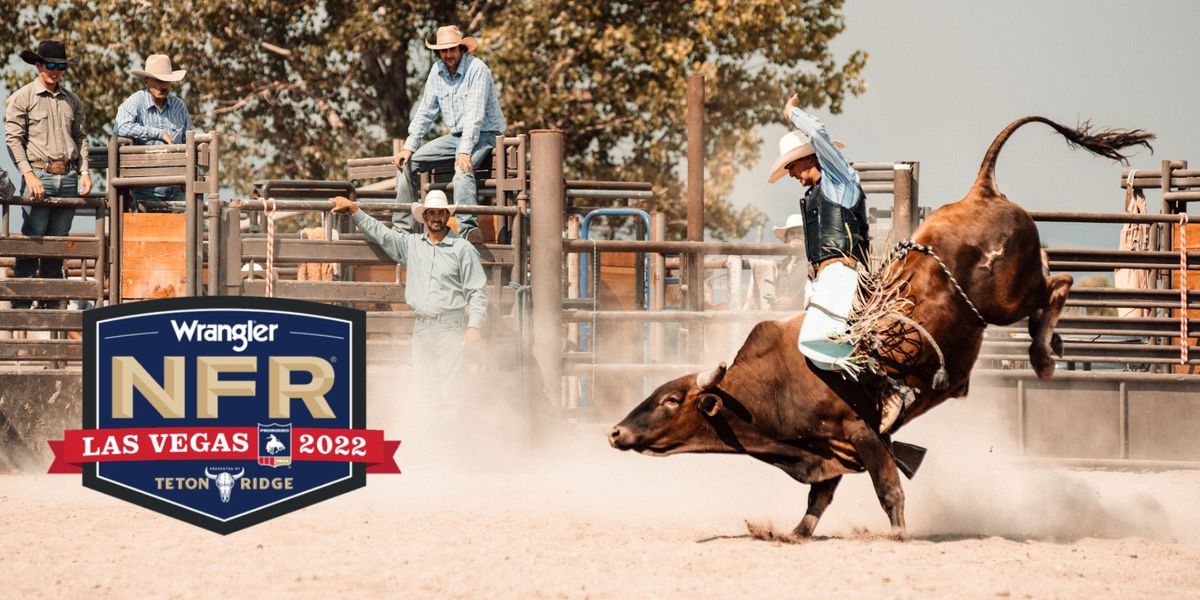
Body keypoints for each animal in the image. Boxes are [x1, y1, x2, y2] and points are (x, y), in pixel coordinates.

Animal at [609, 115, 1152, 540]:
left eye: (671, 399)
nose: (615, 432)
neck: (773, 385)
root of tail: (980, 191)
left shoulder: (861, 434)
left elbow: (889, 489)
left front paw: (898, 535)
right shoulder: (829, 451)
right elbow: (818, 501)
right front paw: (791, 533)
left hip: (1006, 297)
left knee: (1058, 284)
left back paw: (1041, 355)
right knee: (1053, 281)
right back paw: (1051, 344)